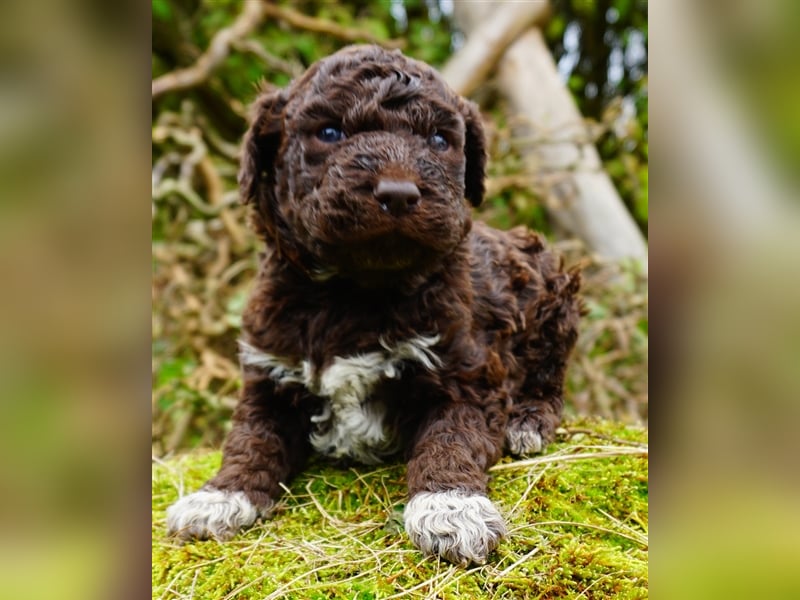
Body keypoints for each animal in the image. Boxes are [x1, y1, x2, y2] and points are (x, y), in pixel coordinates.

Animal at [169, 44, 580, 564]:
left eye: (439, 140)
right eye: (330, 133)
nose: (399, 194)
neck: (354, 290)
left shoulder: (466, 371)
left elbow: (452, 436)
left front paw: (450, 508)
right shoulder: (269, 373)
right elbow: (250, 439)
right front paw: (220, 496)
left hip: (551, 295)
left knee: (549, 377)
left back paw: (526, 422)